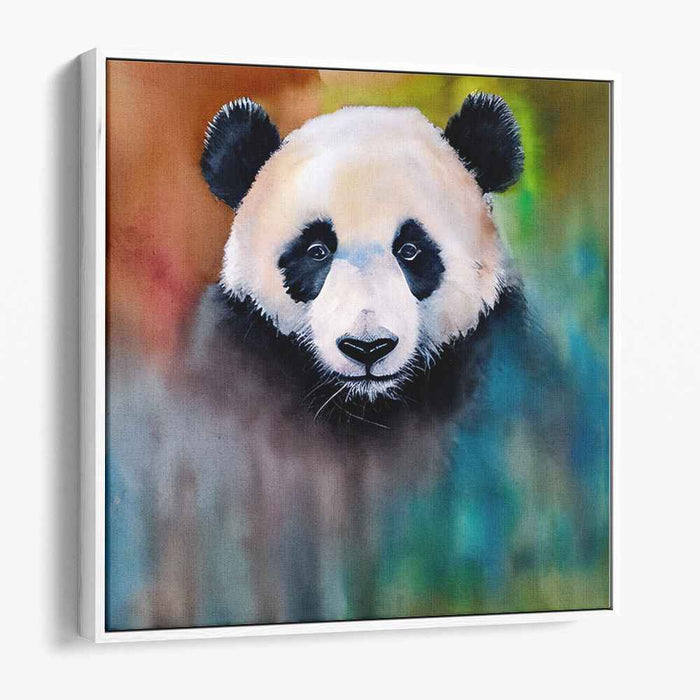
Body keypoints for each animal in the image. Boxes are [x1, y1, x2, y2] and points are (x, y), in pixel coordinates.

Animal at [106, 94, 580, 630]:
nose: (367, 347)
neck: (363, 407)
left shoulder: (497, 359)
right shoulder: (234, 360)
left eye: (411, 250)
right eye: (316, 250)